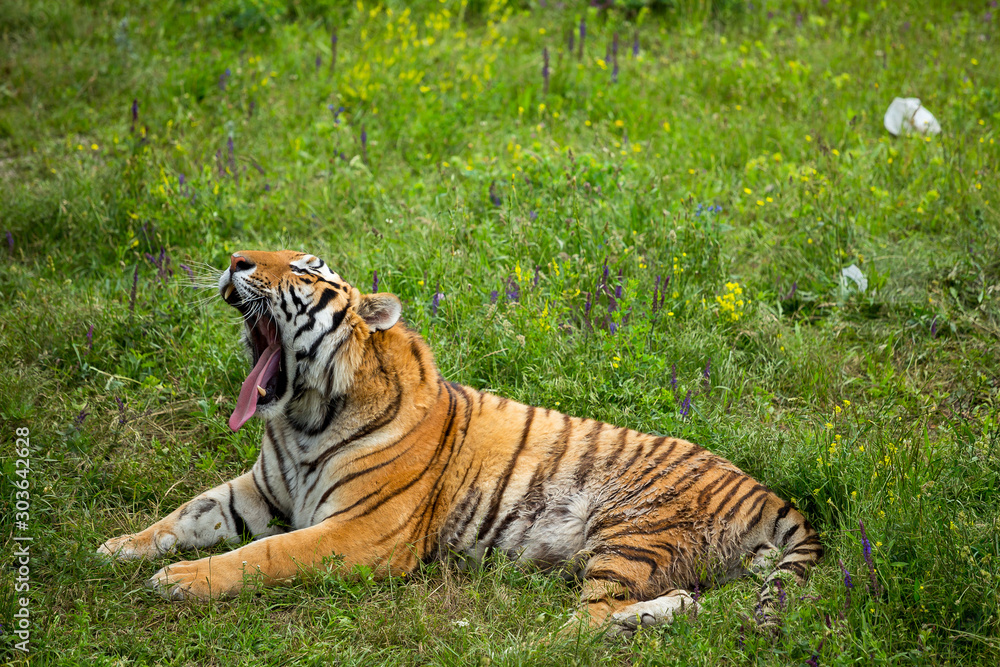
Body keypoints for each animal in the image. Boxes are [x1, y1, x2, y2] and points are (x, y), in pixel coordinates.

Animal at [98, 249, 823, 636]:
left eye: (302, 273)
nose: (234, 260)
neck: (303, 414)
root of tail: (769, 495)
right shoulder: (257, 490)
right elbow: (186, 513)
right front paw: (117, 548)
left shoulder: (361, 532)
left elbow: (265, 553)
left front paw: (178, 580)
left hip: (631, 529)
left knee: (579, 626)